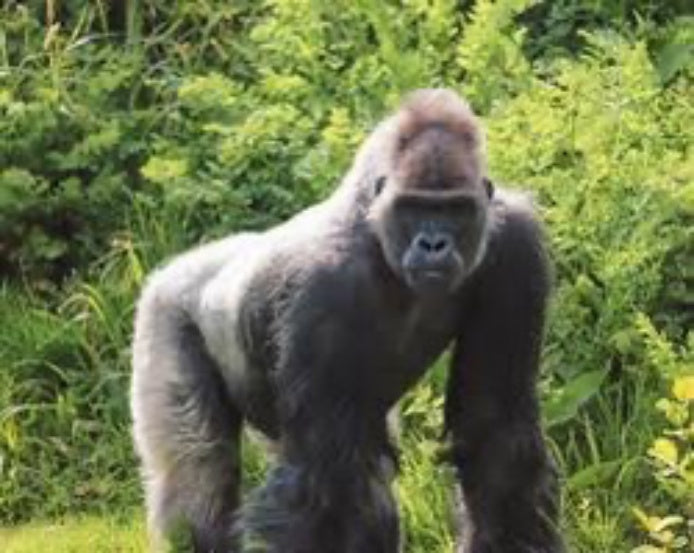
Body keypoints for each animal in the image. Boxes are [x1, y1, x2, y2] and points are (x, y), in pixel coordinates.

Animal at [131, 88, 565, 553]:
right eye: (413, 207)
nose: (433, 243)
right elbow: (321, 483)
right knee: (200, 478)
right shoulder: (324, 286)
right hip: (165, 309)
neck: (373, 225)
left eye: (456, 209)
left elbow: (495, 428)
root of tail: (181, 265)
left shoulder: (516, 247)